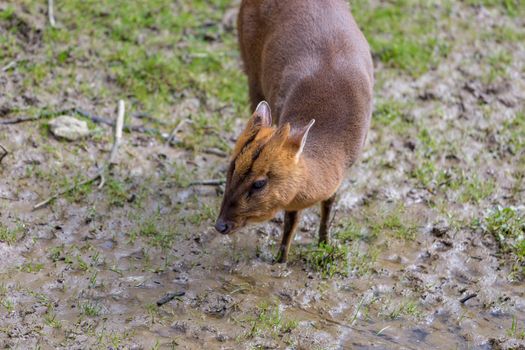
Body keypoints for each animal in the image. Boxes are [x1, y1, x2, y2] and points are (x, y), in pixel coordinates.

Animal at [215, 0, 374, 262]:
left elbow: (328, 202)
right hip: (250, 67)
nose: (221, 225)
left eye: (259, 183)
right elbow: (293, 216)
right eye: (232, 168)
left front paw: (324, 242)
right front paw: (281, 260)